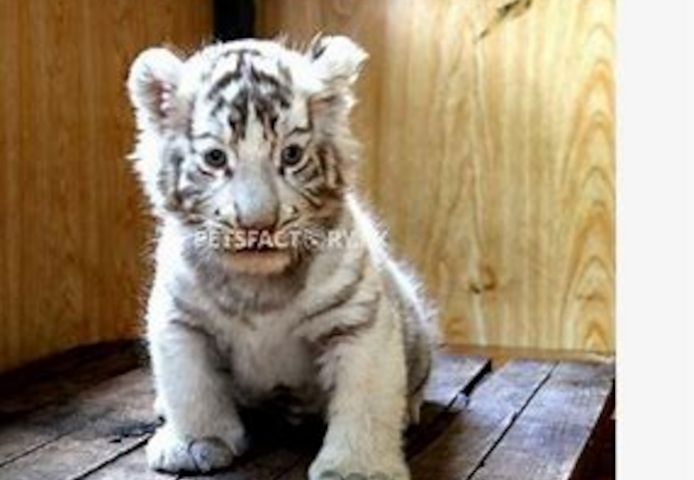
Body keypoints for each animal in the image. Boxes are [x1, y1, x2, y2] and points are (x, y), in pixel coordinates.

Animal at [126, 35, 436, 480]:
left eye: (291, 155)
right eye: (216, 158)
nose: (259, 224)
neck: (258, 285)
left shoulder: (359, 322)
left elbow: (367, 400)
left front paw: (355, 469)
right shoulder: (180, 319)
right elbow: (190, 386)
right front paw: (196, 442)